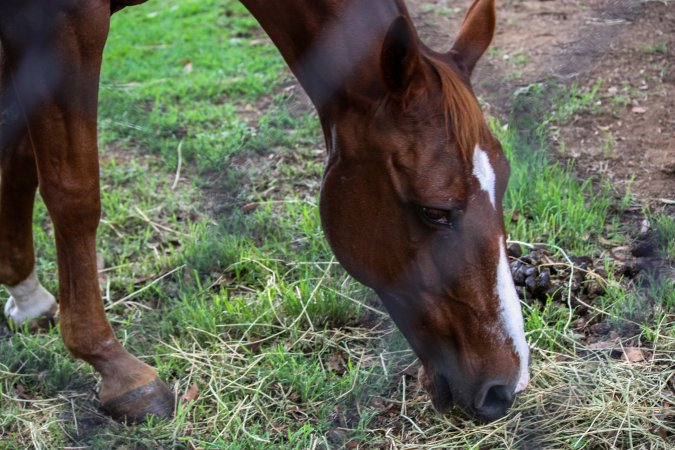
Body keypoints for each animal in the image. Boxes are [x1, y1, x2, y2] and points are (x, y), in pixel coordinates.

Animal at [0, 0, 529, 423]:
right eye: (434, 211)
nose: (505, 388)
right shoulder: (62, 21)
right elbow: (74, 192)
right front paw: (117, 370)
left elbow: (18, 155)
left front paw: (25, 294)